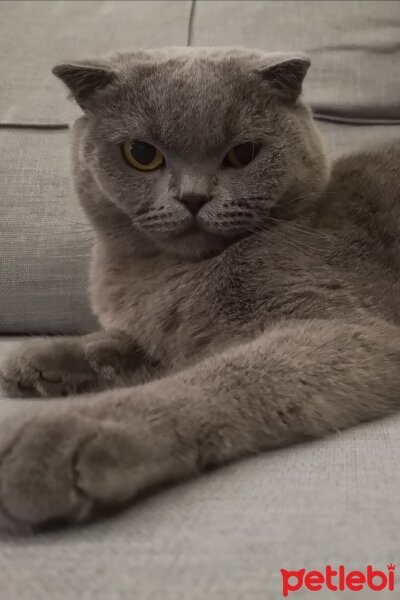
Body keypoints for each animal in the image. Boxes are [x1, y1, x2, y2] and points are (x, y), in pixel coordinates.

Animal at [0, 48, 400, 528]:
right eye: (141, 154)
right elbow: (133, 341)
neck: (164, 276)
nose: (193, 198)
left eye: (243, 153)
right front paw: (45, 361)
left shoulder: (341, 325)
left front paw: (62, 433)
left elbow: (220, 376)